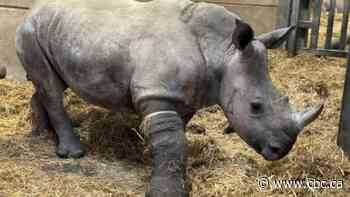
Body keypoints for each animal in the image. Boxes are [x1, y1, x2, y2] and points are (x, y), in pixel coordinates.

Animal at [16, 0, 322, 196]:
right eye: (255, 106)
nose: (281, 150)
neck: (222, 51)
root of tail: (33, 9)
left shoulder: (183, 97)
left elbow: (174, 140)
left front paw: (152, 158)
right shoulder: (157, 94)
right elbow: (172, 141)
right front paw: (167, 191)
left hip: (58, 30)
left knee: (50, 83)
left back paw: (40, 134)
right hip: (30, 30)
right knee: (51, 87)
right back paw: (72, 153)